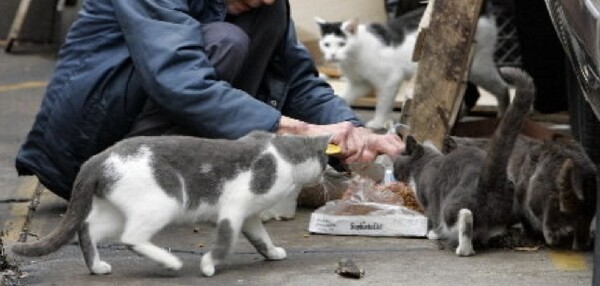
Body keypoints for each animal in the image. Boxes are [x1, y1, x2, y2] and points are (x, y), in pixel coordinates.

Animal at [12, 131, 332, 278]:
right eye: (326, 159)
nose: (329, 172)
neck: (282, 154)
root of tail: (101, 156)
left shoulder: (250, 216)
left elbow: (260, 238)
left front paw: (273, 252)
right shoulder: (234, 208)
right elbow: (225, 243)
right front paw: (208, 266)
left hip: (116, 212)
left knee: (87, 228)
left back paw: (98, 267)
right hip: (164, 202)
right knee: (131, 238)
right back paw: (170, 262)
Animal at [316, 6, 508, 130]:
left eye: (342, 44)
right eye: (326, 44)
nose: (332, 55)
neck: (353, 56)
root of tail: (483, 10)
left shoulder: (390, 79)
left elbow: (383, 103)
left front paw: (378, 122)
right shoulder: (360, 84)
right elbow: (343, 97)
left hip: (479, 66)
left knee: (502, 87)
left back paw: (502, 114)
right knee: (472, 93)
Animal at [394, 67, 536, 256]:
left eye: (397, 157)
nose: (393, 171)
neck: (425, 163)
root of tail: (489, 180)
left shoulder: (429, 199)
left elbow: (432, 217)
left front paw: (432, 234)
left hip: (451, 206)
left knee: (464, 218)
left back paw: (463, 247)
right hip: (508, 209)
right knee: (496, 228)